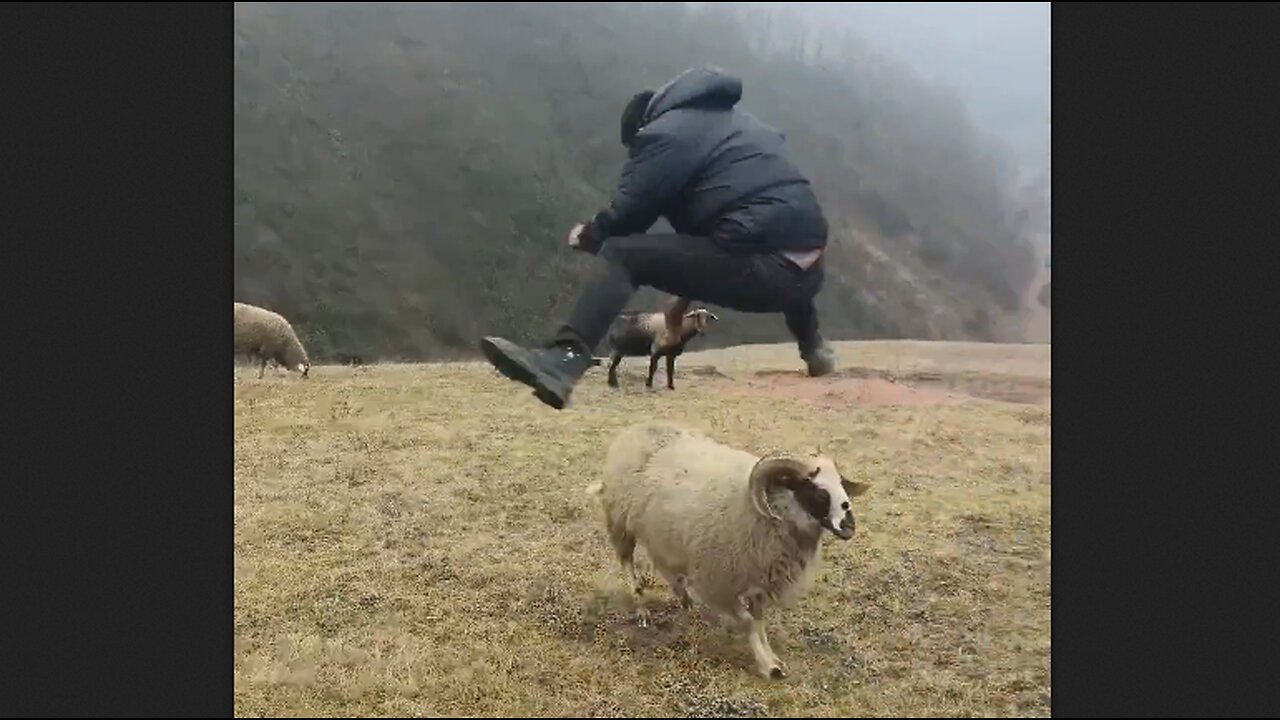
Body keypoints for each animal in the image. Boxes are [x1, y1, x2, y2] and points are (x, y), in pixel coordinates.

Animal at [586, 417, 870, 676]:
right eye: (816, 491)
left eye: (842, 485)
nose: (848, 526)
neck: (767, 512)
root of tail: (639, 428)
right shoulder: (719, 582)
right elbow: (748, 623)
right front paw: (768, 667)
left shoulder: (759, 579)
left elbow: (759, 622)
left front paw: (771, 658)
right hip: (619, 522)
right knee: (628, 563)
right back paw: (642, 608)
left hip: (662, 533)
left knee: (664, 564)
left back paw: (684, 597)